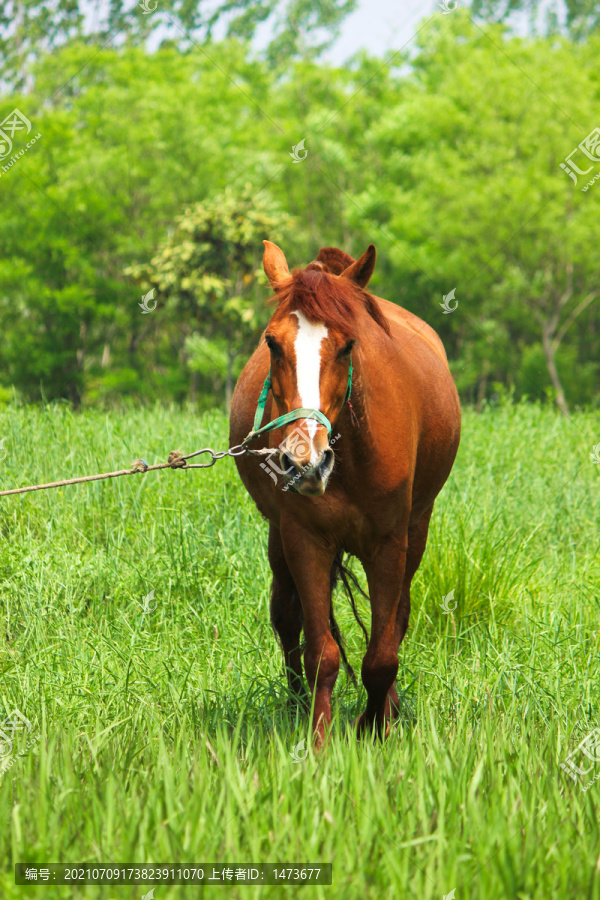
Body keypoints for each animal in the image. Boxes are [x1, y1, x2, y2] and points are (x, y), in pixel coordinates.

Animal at [229, 239, 460, 744]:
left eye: (348, 344)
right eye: (272, 343)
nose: (306, 462)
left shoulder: (389, 543)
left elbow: (382, 654)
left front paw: (375, 727)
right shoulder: (304, 539)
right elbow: (321, 653)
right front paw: (317, 742)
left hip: (417, 529)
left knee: (396, 620)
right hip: (278, 537)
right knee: (286, 616)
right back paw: (296, 703)